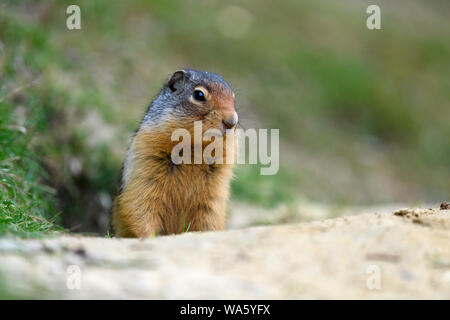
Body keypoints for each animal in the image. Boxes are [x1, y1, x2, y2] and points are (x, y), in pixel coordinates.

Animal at [112, 68, 237, 238]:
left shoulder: (216, 190)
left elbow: (210, 216)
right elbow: (140, 206)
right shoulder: (145, 163)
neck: (194, 149)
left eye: (233, 98)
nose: (232, 122)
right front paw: (148, 237)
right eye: (199, 95)